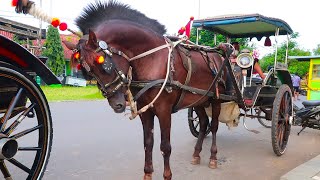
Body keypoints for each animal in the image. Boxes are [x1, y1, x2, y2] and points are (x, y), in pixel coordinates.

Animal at [63, 0, 231, 179]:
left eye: (104, 64)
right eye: (88, 73)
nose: (117, 105)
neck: (153, 60)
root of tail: (217, 56)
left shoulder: (164, 110)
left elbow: (165, 146)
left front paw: (167, 175)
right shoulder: (145, 111)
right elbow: (148, 143)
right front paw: (148, 173)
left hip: (216, 98)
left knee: (214, 126)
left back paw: (213, 157)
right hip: (199, 99)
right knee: (204, 122)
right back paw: (196, 154)